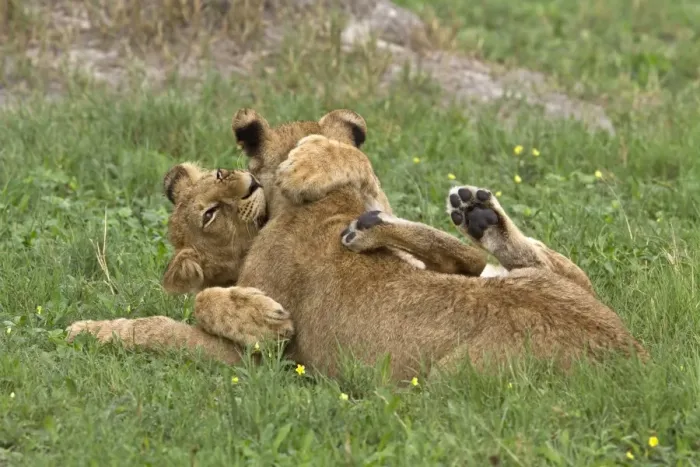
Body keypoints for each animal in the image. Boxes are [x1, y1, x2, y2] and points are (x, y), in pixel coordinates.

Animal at [67, 109, 648, 381]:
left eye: (220, 176)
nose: (241, 182)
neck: (322, 210)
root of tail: (631, 354)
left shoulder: (259, 362)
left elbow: (169, 323)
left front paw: (87, 330)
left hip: (448, 383)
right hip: (544, 282)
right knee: (546, 265)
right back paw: (471, 215)